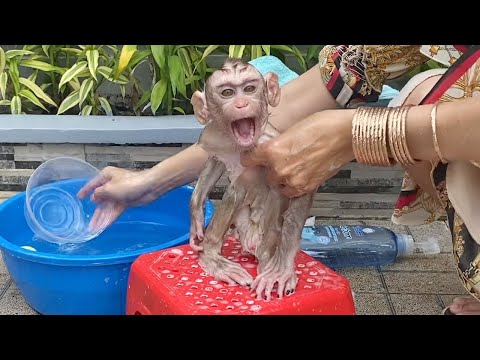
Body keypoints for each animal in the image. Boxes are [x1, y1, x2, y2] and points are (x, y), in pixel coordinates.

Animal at [188, 59, 316, 300]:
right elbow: (216, 161)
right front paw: (196, 212)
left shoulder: (274, 143)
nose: (241, 104)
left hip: (261, 233)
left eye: (249, 89)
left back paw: (266, 259)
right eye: (227, 93)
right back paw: (211, 254)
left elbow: (302, 183)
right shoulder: (212, 135)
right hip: (244, 226)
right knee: (237, 189)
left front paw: (282, 268)